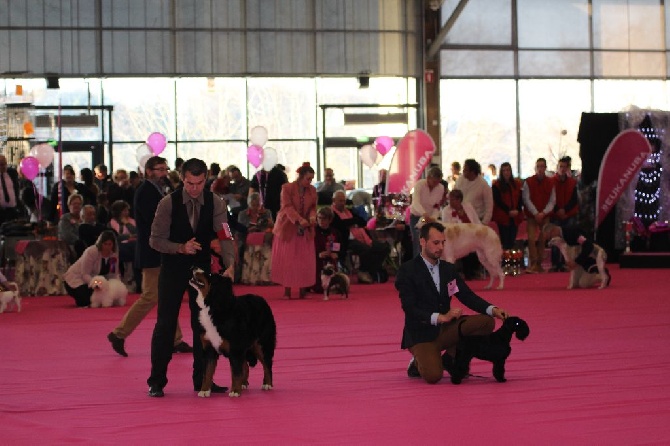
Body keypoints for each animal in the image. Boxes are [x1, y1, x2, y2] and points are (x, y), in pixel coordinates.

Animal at [192, 268, 278, 398]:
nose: (193, 268)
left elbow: (235, 372)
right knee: (246, 366)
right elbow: (207, 373)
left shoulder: (235, 348)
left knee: (267, 364)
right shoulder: (210, 349)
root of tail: (261, 299)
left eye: (210, 274)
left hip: (261, 344)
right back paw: (243, 383)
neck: (214, 307)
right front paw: (205, 390)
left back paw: (267, 384)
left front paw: (235, 391)